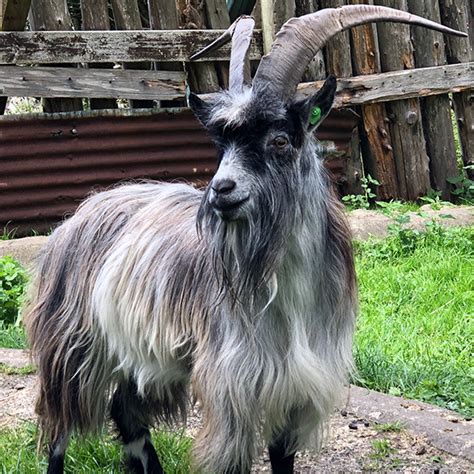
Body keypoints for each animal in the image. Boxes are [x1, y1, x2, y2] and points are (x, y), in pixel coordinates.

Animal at [24, 6, 464, 474]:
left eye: (280, 139)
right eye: (221, 145)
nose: (221, 190)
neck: (289, 299)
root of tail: (79, 215)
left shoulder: (296, 391)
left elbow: (282, 457)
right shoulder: (232, 389)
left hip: (143, 357)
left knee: (125, 413)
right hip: (72, 343)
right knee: (60, 427)